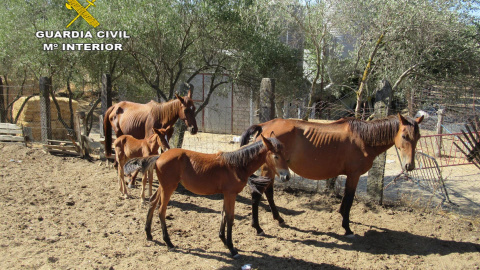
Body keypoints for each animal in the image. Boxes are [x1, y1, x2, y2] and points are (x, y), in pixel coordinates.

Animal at [240, 113, 424, 236]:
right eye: (404, 136)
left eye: (418, 137)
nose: (409, 165)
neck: (362, 138)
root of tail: (264, 126)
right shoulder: (354, 174)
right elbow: (349, 199)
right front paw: (347, 227)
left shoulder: (350, 175)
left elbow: (345, 199)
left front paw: (341, 214)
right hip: (268, 169)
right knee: (257, 194)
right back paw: (257, 227)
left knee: (269, 193)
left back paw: (278, 218)